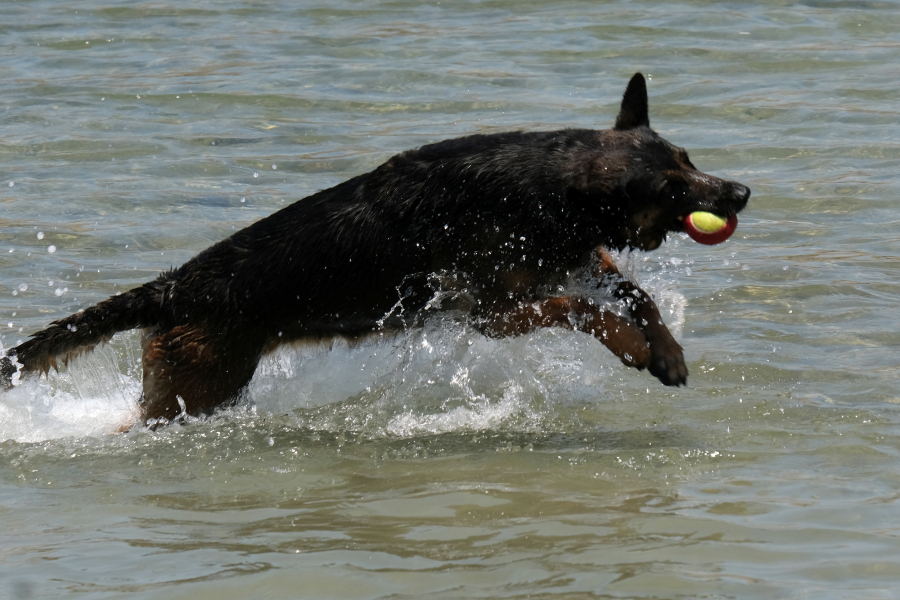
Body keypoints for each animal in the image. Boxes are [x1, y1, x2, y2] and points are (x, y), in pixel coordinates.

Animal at [0, 72, 748, 424]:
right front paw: (631, 348)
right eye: (673, 185)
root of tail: (176, 283)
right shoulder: (494, 313)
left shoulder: (577, 259)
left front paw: (667, 352)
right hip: (199, 392)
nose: (741, 192)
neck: (544, 187)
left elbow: (635, 293)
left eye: (689, 159)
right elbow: (581, 310)